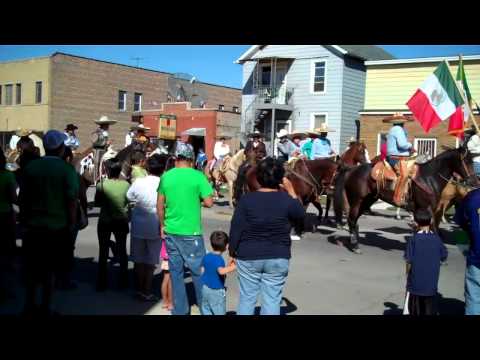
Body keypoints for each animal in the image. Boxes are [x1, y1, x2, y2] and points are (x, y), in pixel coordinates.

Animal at [334, 143, 480, 253]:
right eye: (466, 161)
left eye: (472, 161)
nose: (474, 181)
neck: (429, 178)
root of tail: (351, 170)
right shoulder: (426, 209)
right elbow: (432, 228)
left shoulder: (429, 210)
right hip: (357, 200)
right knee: (352, 219)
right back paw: (355, 245)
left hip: (367, 200)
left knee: (354, 220)